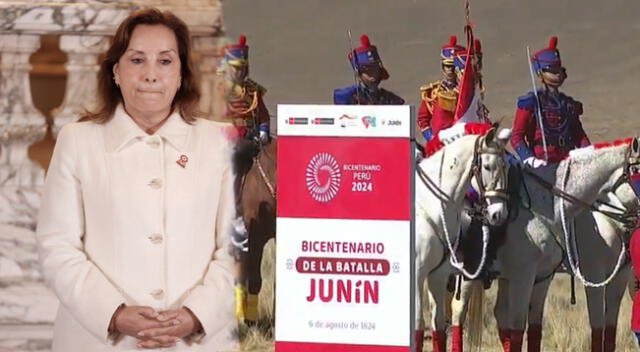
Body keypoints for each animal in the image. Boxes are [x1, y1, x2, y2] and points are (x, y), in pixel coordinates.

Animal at [412, 128, 512, 352]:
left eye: (506, 166)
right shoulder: (417, 273)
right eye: (487, 166)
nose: (499, 214)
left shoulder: (438, 275)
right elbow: (417, 324)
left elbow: (438, 324)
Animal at [488, 138, 636, 352]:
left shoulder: (621, 277)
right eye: (635, 169)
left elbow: (609, 333)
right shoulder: (594, 276)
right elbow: (597, 328)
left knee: (501, 313)